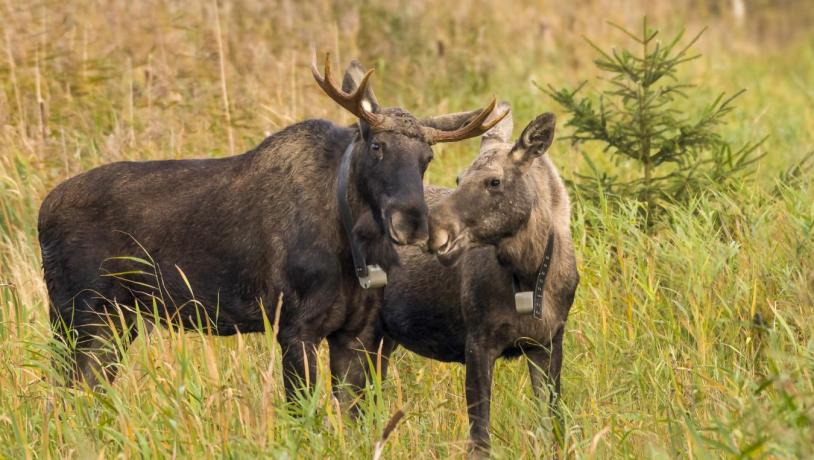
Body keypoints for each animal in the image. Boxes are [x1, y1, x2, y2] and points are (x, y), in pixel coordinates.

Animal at [39, 53, 510, 398]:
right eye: (377, 146)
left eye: (426, 158)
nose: (411, 223)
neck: (352, 243)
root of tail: (40, 213)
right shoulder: (295, 327)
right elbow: (304, 411)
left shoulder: (355, 332)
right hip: (75, 314)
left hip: (118, 321)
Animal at [376, 102, 580, 454]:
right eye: (459, 178)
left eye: (494, 181)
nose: (435, 232)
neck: (529, 277)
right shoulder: (477, 341)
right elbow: (480, 437)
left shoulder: (549, 340)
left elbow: (553, 424)